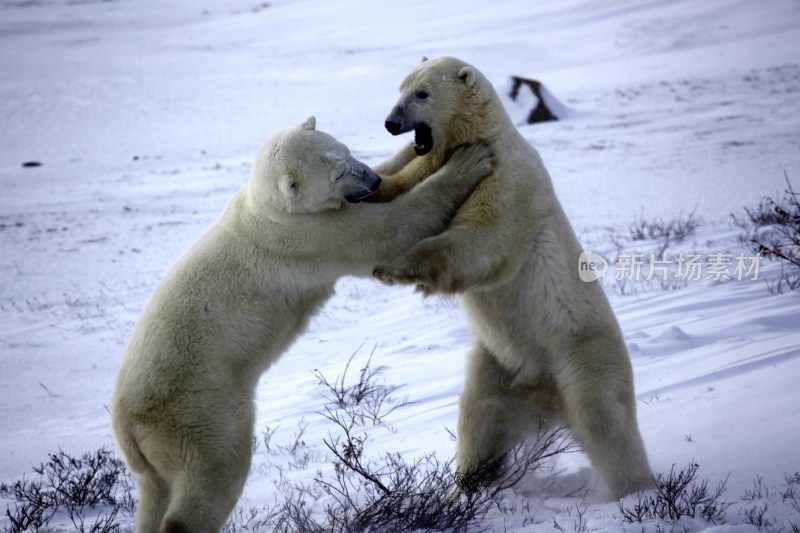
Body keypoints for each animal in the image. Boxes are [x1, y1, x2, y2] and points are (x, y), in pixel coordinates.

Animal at [109, 117, 490, 532]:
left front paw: (409, 152)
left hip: (154, 455)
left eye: (346, 150)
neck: (266, 210)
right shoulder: (308, 238)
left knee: (154, 493)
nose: (371, 181)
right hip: (199, 410)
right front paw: (471, 160)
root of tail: (128, 427)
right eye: (337, 172)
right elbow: (387, 230)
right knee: (214, 474)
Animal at [372, 58, 652, 498]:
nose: (390, 122)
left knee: (606, 423)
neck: (486, 136)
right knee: (479, 422)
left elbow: (483, 241)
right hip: (499, 367)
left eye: (422, 93)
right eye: (400, 87)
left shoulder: (509, 179)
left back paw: (637, 490)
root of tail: (548, 401)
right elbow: (400, 181)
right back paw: (466, 488)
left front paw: (394, 269)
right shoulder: (422, 161)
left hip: (581, 357)